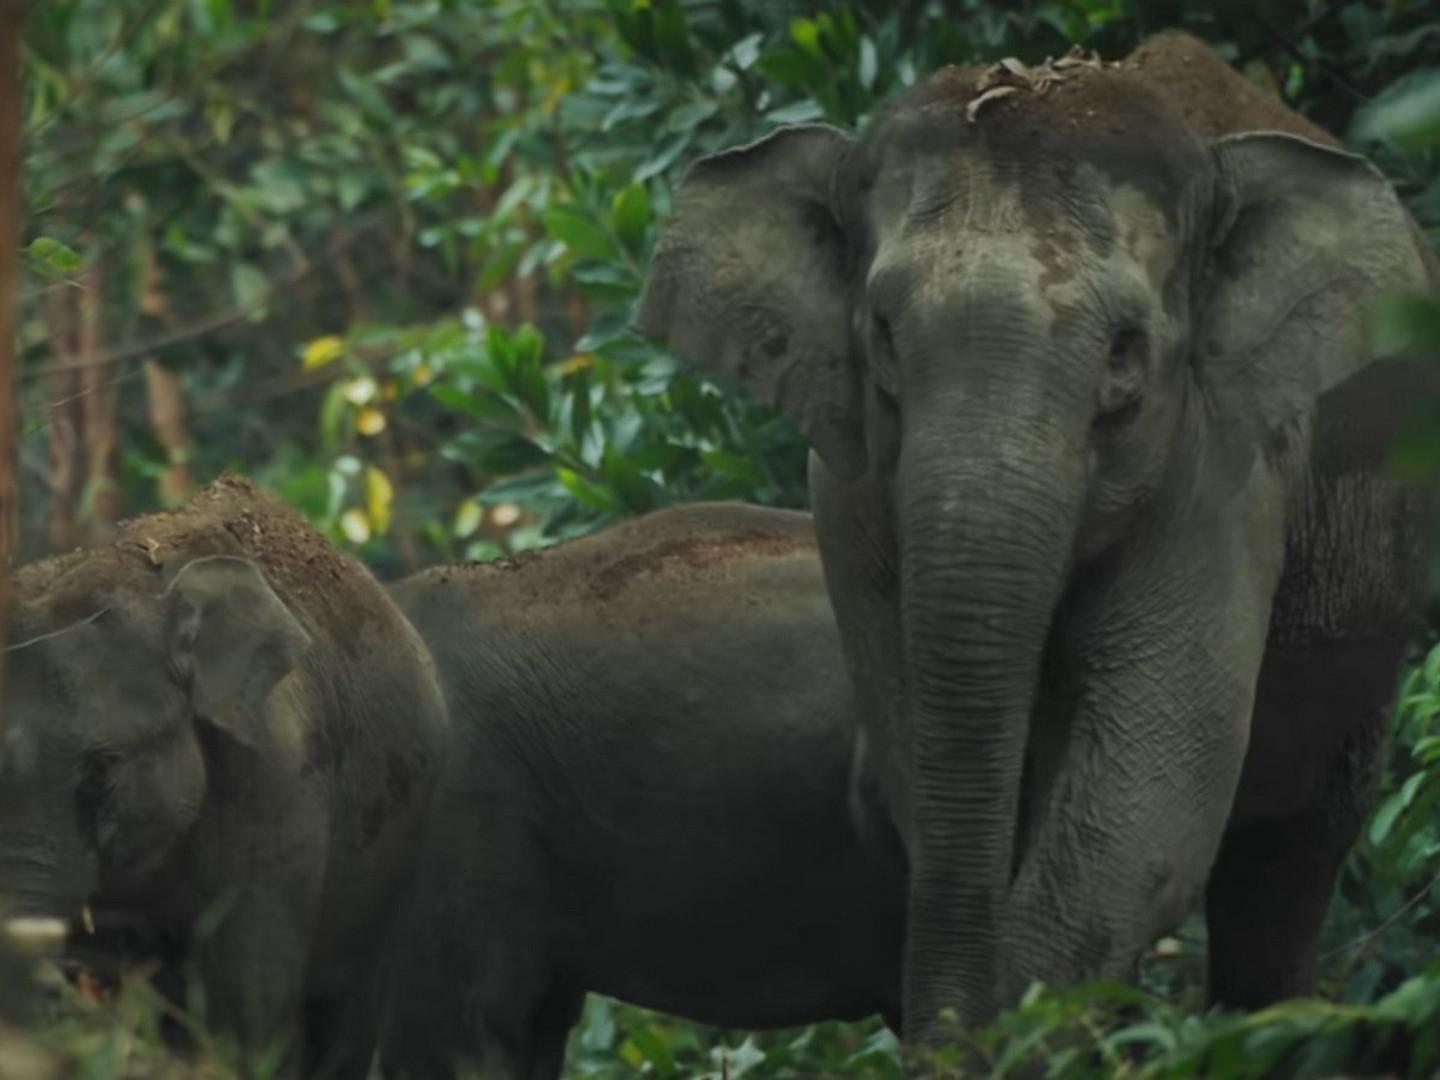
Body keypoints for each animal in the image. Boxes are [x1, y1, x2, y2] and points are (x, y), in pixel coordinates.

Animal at [642, 31, 1440, 1048]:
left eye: (1126, 351)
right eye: (883, 336)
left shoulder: (1223, 479)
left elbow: (1153, 803)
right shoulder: (849, 494)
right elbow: (916, 747)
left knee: (1296, 843)